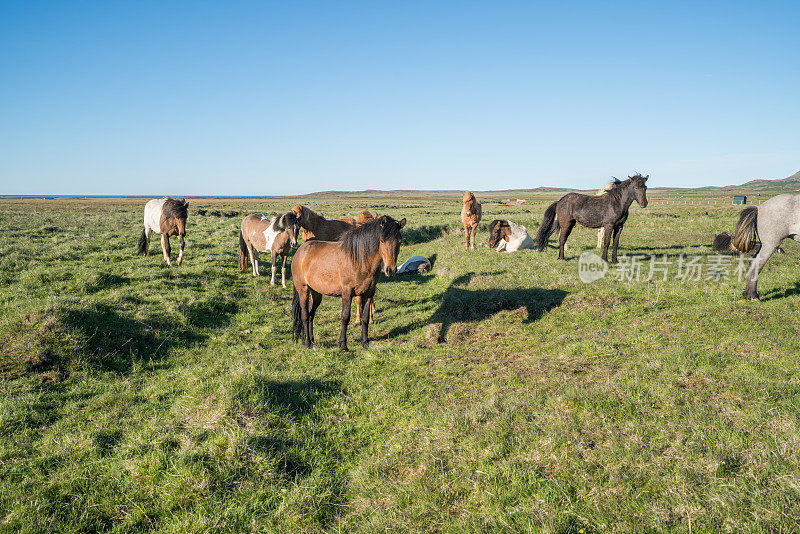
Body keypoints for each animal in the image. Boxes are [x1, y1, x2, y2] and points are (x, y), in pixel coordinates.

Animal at [290, 216, 406, 354]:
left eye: (399, 241)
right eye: (382, 241)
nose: (390, 270)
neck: (360, 260)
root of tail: (300, 252)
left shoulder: (369, 292)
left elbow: (365, 318)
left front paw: (365, 343)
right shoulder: (347, 292)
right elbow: (345, 317)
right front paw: (343, 345)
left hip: (316, 293)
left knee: (311, 314)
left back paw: (312, 341)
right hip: (303, 290)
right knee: (305, 315)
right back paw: (307, 343)